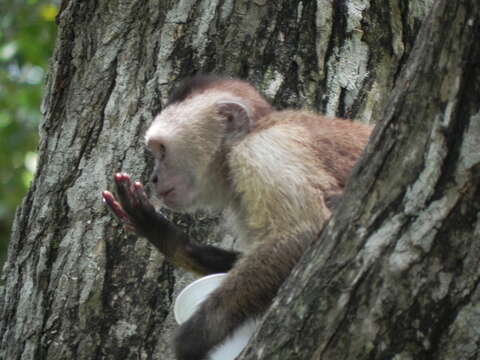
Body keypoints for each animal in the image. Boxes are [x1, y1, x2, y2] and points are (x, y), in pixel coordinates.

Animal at [101, 74, 372, 358]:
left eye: (162, 150)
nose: (154, 178)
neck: (246, 137)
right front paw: (161, 233)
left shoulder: (262, 152)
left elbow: (302, 233)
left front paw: (196, 335)